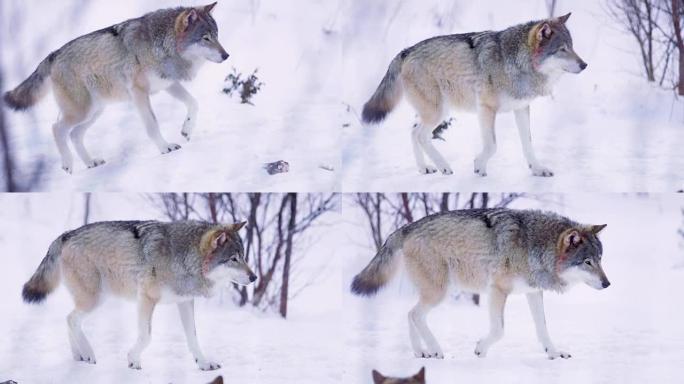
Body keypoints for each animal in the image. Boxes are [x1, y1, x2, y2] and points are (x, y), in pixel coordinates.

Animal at [2, 2, 230, 174]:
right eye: (205, 38)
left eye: (217, 35)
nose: (226, 55)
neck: (160, 45)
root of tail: (53, 55)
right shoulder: (140, 93)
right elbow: (152, 125)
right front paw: (165, 148)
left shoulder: (168, 84)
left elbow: (194, 103)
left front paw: (187, 130)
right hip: (82, 111)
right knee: (57, 128)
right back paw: (68, 164)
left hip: (95, 112)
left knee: (74, 134)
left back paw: (91, 163)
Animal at [22, 220, 256, 370]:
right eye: (233, 259)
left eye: (244, 256)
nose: (254, 277)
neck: (183, 258)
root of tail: (66, 234)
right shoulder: (146, 298)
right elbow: (146, 336)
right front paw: (133, 359)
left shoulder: (185, 302)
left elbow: (193, 337)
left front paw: (204, 363)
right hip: (95, 299)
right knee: (72, 319)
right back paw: (88, 353)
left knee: (70, 319)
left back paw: (78, 355)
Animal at [352, 208, 608, 358]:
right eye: (587, 262)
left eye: (599, 259)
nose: (608, 284)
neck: (533, 246)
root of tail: (406, 227)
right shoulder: (497, 290)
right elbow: (499, 330)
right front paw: (480, 350)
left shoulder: (533, 292)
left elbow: (543, 328)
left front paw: (553, 353)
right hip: (439, 292)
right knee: (415, 315)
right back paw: (435, 350)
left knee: (410, 314)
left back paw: (420, 352)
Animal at [364, 12, 588, 178]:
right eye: (562, 49)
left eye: (572, 47)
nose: (584, 65)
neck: (515, 62)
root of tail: (406, 51)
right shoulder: (486, 108)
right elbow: (492, 145)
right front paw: (479, 166)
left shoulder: (521, 108)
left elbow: (528, 144)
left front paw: (538, 169)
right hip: (439, 112)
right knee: (420, 135)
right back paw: (444, 167)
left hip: (434, 112)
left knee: (413, 132)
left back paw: (424, 168)